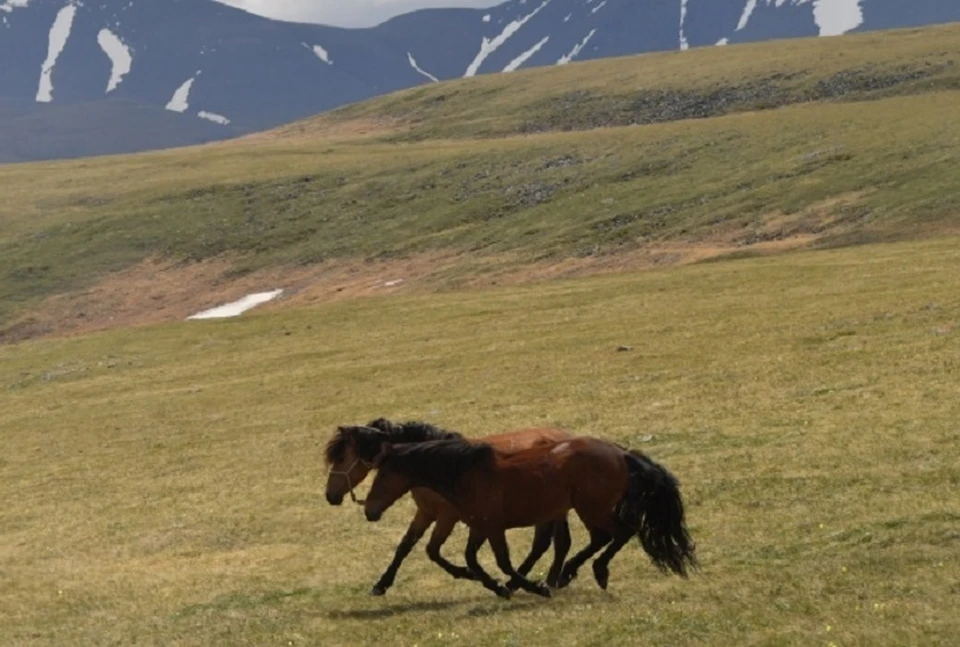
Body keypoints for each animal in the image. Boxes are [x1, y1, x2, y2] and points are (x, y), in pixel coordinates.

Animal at [324, 420, 576, 596]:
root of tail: (567, 436)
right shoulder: (425, 513)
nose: (330, 496)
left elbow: (433, 550)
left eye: (342, 457)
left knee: (547, 543)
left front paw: (470, 574)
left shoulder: (447, 516)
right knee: (556, 543)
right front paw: (381, 584)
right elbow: (405, 546)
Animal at [364, 436, 692, 604]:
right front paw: (500, 587)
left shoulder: (493, 528)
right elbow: (472, 560)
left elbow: (503, 562)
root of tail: (621, 453)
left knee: (622, 531)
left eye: (383, 476)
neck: (467, 473)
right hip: (586, 510)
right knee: (601, 537)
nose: (369, 510)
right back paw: (566, 573)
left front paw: (531, 587)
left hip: (592, 509)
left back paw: (596, 572)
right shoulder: (479, 527)